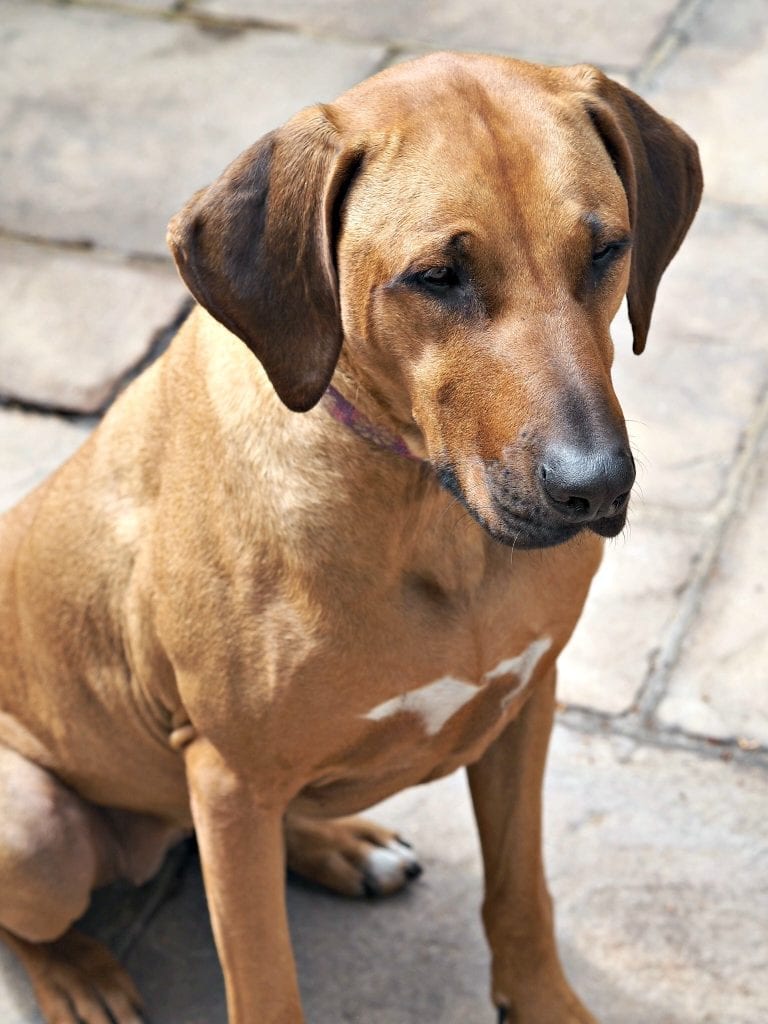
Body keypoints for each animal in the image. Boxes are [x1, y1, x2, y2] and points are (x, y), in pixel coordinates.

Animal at [0, 49, 704, 1024]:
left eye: (606, 250)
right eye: (437, 276)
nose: (596, 486)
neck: (426, 507)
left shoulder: (528, 698)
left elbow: (520, 893)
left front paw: (545, 1003)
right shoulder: (228, 773)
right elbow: (264, 982)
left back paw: (339, 843)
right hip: (36, 829)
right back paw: (78, 974)